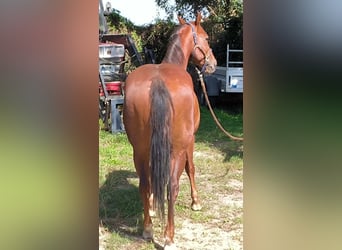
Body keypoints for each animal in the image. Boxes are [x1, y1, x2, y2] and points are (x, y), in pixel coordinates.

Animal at [123, 13, 216, 248]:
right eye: (206, 38)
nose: (213, 64)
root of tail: (158, 82)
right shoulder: (190, 142)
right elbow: (191, 169)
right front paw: (195, 202)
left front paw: (152, 210)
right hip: (177, 150)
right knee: (172, 187)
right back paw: (169, 237)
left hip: (139, 150)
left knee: (145, 184)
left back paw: (148, 229)